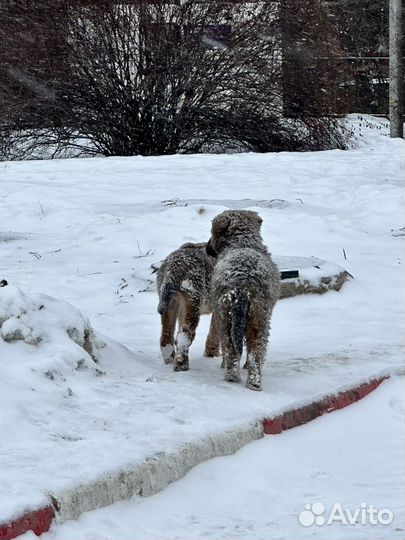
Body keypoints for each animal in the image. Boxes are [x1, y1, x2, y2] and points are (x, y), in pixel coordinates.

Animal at [155, 244, 219, 372]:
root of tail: (174, 269)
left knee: (166, 337)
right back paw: (181, 365)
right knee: (184, 336)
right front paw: (212, 353)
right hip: (192, 303)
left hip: (169, 303)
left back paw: (170, 360)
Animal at [207, 209, 280, 390]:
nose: (207, 248)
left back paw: (240, 379)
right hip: (257, 320)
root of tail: (242, 285)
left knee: (235, 350)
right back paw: (247, 380)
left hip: (229, 318)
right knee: (252, 353)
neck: (242, 241)